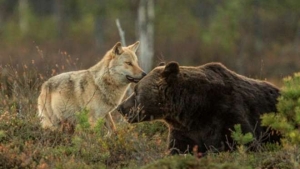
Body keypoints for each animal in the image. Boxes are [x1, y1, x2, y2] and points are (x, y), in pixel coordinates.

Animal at [118, 61, 282, 154]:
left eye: (136, 91)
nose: (120, 107)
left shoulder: (226, 113)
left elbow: (245, 143)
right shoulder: (185, 131)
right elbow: (177, 150)